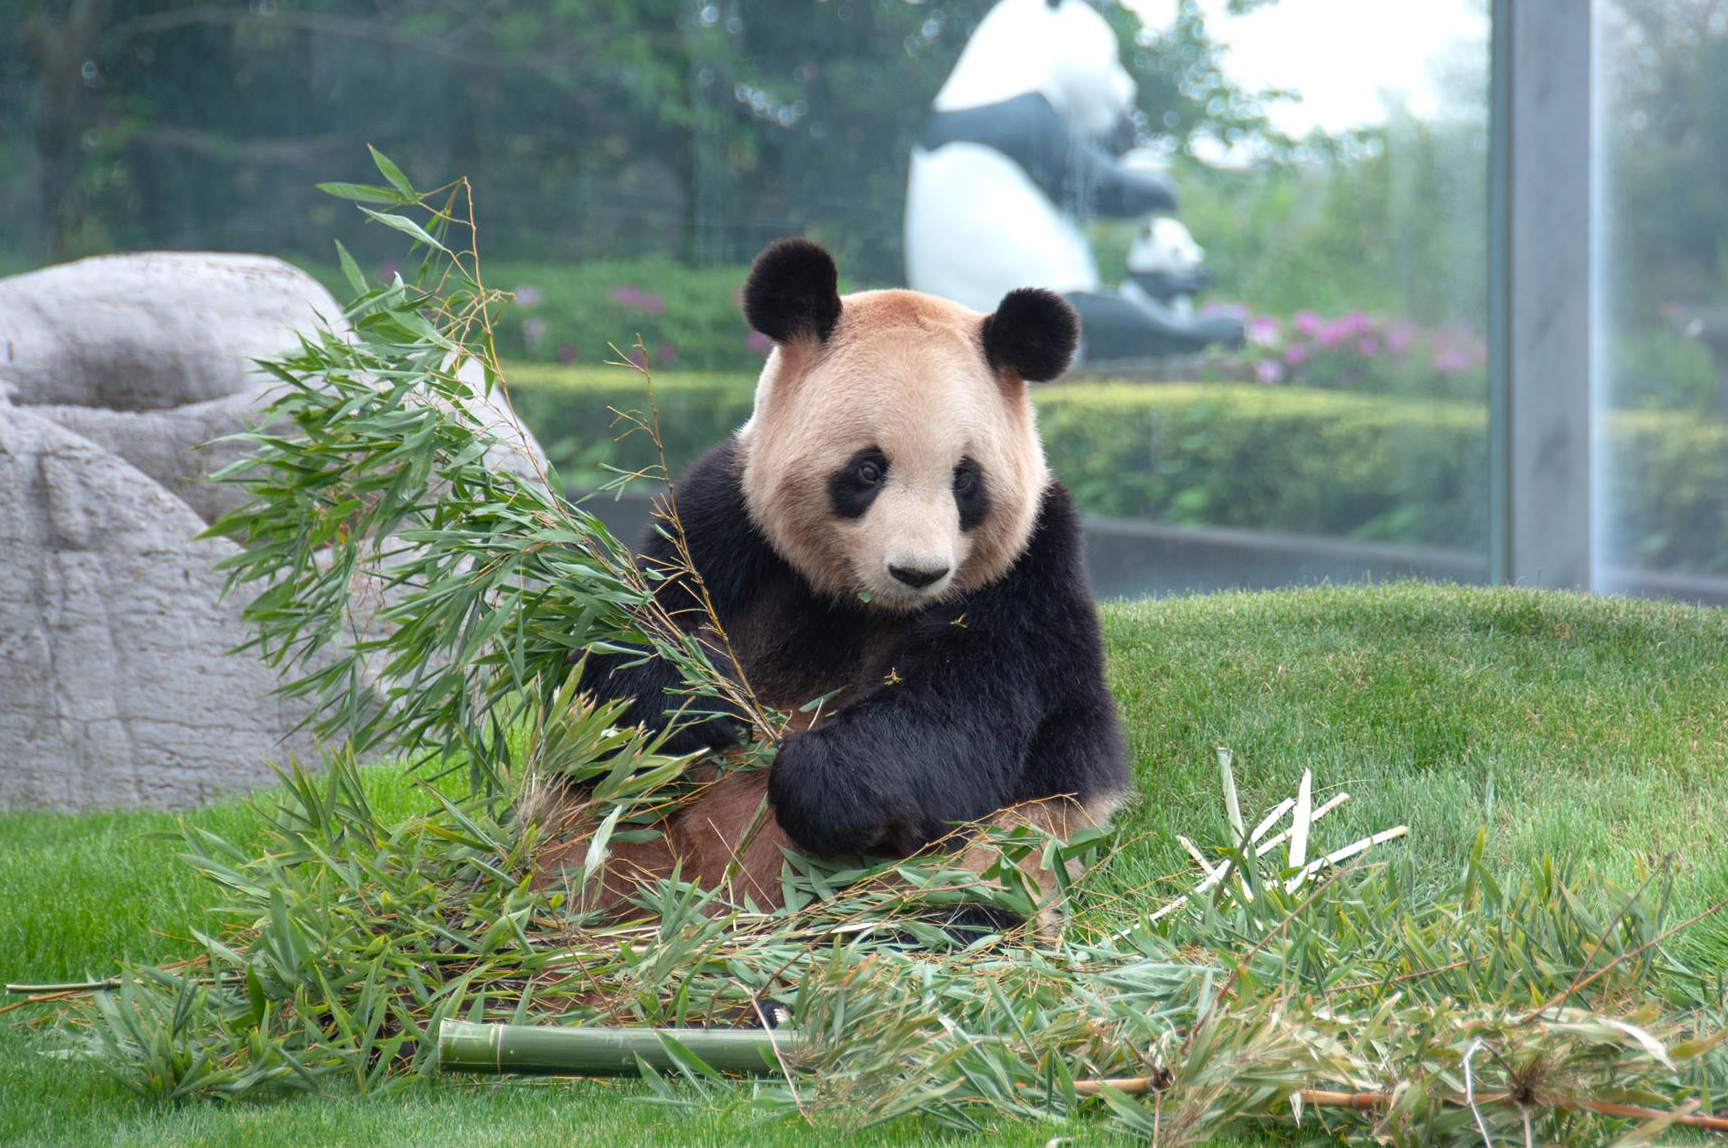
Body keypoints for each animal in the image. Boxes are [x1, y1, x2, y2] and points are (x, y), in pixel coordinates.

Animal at [539, 236, 1133, 926]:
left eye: (966, 480)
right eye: (867, 470)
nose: (918, 572)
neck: (861, 601)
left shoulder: (1029, 573)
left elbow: (967, 709)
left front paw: (820, 781)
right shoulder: (725, 524)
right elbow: (625, 648)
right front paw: (702, 699)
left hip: (1003, 849)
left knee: (964, 894)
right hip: (628, 830)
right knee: (575, 835)